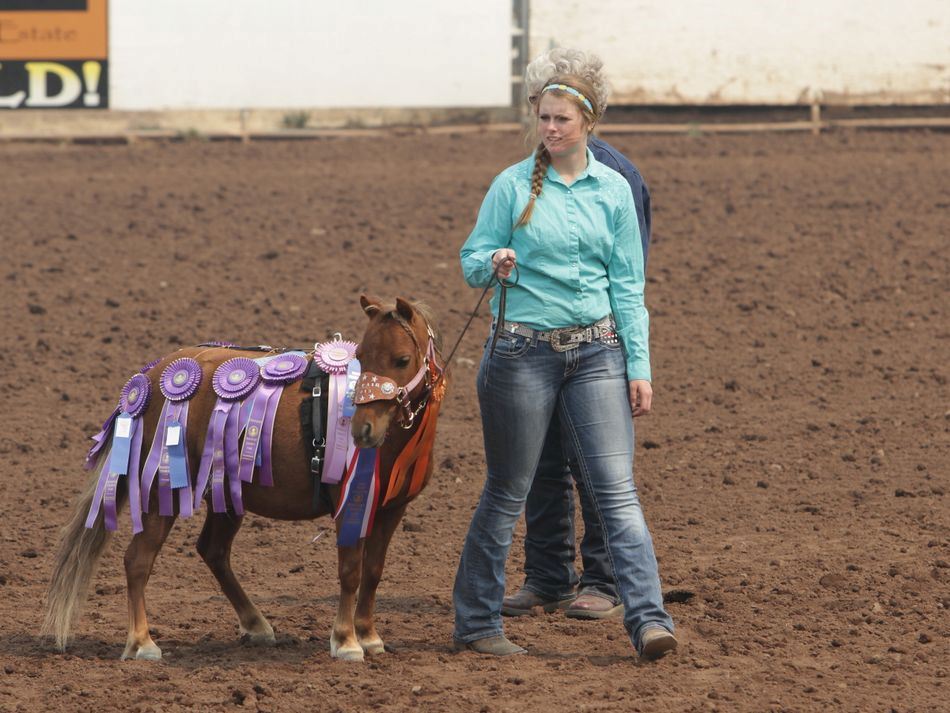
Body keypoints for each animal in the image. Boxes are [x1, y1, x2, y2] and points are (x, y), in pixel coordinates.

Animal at [43, 296, 446, 662]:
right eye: (362, 356)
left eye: (402, 360)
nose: (363, 430)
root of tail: (150, 378)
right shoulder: (349, 506)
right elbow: (350, 571)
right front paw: (346, 641)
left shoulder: (391, 510)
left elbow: (373, 572)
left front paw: (369, 635)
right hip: (162, 493)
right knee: (138, 560)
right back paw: (142, 642)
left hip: (225, 495)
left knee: (213, 551)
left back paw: (256, 624)